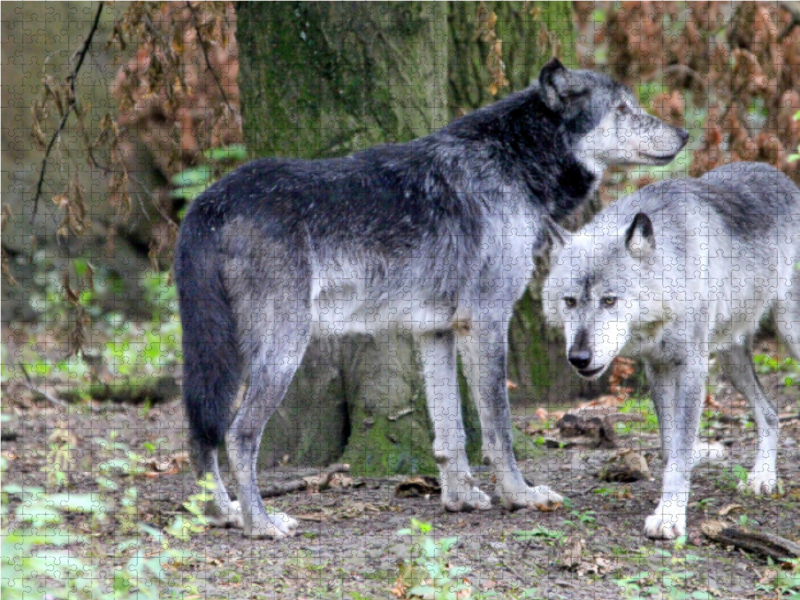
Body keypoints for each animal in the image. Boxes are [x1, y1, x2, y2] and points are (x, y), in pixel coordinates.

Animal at [175, 57, 688, 540]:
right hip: (281, 350)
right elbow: (498, 428)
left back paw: (224, 513)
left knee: (201, 430)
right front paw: (519, 496)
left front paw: (460, 498)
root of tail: (209, 202)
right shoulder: (486, 321)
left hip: (218, 353)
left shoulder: (435, 331)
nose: (684, 134)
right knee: (238, 434)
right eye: (623, 109)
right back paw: (260, 523)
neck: (511, 163)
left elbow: (450, 434)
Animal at [544, 161, 800, 540]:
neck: (673, 269)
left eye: (610, 301)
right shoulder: (658, 367)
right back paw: (762, 478)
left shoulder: (692, 369)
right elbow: (669, 446)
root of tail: (780, 175)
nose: (579, 358)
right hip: (731, 359)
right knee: (769, 413)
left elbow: (679, 449)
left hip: (787, 333)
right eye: (570, 302)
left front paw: (669, 517)